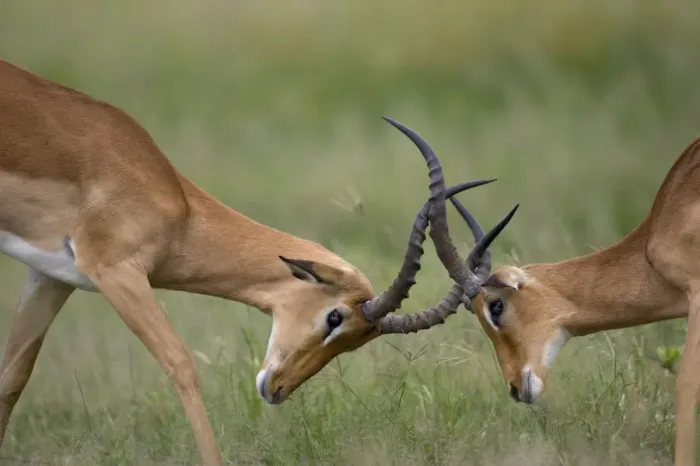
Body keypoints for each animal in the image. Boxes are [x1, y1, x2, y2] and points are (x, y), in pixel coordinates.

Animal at [0, 59, 513, 465]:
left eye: (356, 342)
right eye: (334, 317)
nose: (277, 389)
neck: (174, 202)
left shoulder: (50, 277)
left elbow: (12, 377)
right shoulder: (115, 271)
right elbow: (181, 364)